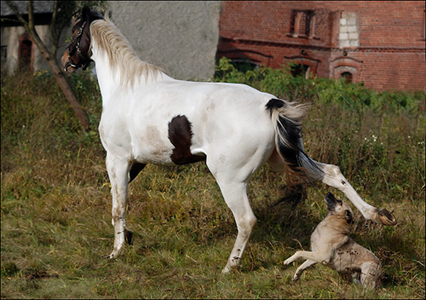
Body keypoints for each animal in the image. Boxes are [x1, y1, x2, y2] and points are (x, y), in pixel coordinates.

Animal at [62, 8, 396, 274]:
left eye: (76, 30)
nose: (66, 59)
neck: (126, 87)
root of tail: (271, 105)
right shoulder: (136, 162)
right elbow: (122, 199)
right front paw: (127, 239)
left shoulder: (117, 158)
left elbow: (118, 205)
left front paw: (116, 251)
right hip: (286, 160)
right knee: (333, 174)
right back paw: (378, 215)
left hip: (230, 179)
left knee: (246, 220)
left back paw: (228, 268)